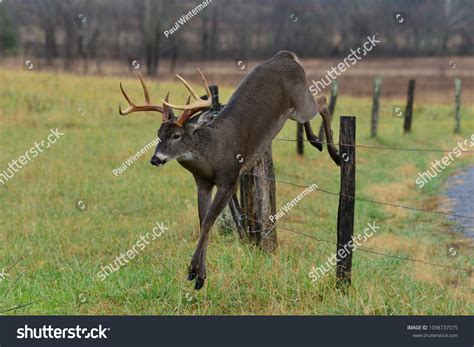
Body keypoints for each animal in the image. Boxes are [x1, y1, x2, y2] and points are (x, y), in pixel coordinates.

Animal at [118, 51, 340, 290]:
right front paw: (200, 276)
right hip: (294, 109)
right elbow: (203, 221)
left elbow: (208, 221)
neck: (212, 154)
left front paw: (194, 271)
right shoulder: (202, 182)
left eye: (176, 135)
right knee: (314, 109)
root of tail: (285, 55)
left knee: (322, 102)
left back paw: (335, 154)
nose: (155, 159)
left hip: (300, 101)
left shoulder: (229, 179)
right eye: (158, 134)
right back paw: (315, 141)